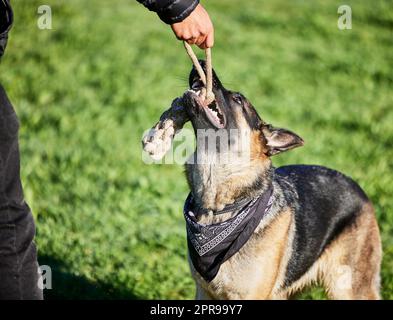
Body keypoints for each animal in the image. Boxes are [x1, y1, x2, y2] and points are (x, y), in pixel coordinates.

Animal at [180, 63, 380, 300]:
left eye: (238, 99)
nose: (200, 62)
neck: (219, 209)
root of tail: (358, 187)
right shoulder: (204, 292)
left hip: (347, 288)